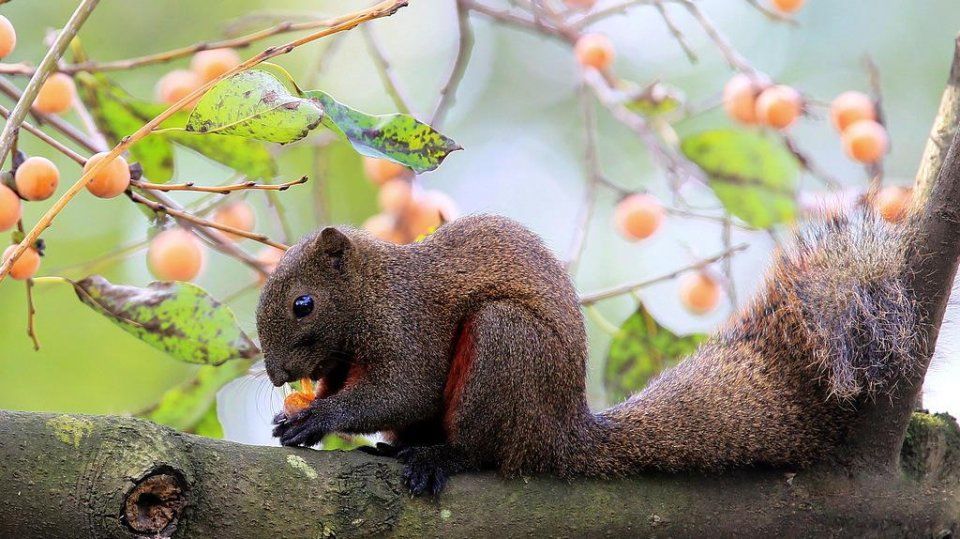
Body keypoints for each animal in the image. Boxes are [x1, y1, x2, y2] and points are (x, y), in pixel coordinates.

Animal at [258, 209, 920, 496]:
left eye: (303, 304)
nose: (277, 374)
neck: (374, 290)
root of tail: (560, 433)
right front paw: (301, 414)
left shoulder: (409, 328)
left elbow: (403, 390)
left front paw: (315, 419)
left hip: (504, 347)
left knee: (484, 448)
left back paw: (439, 456)